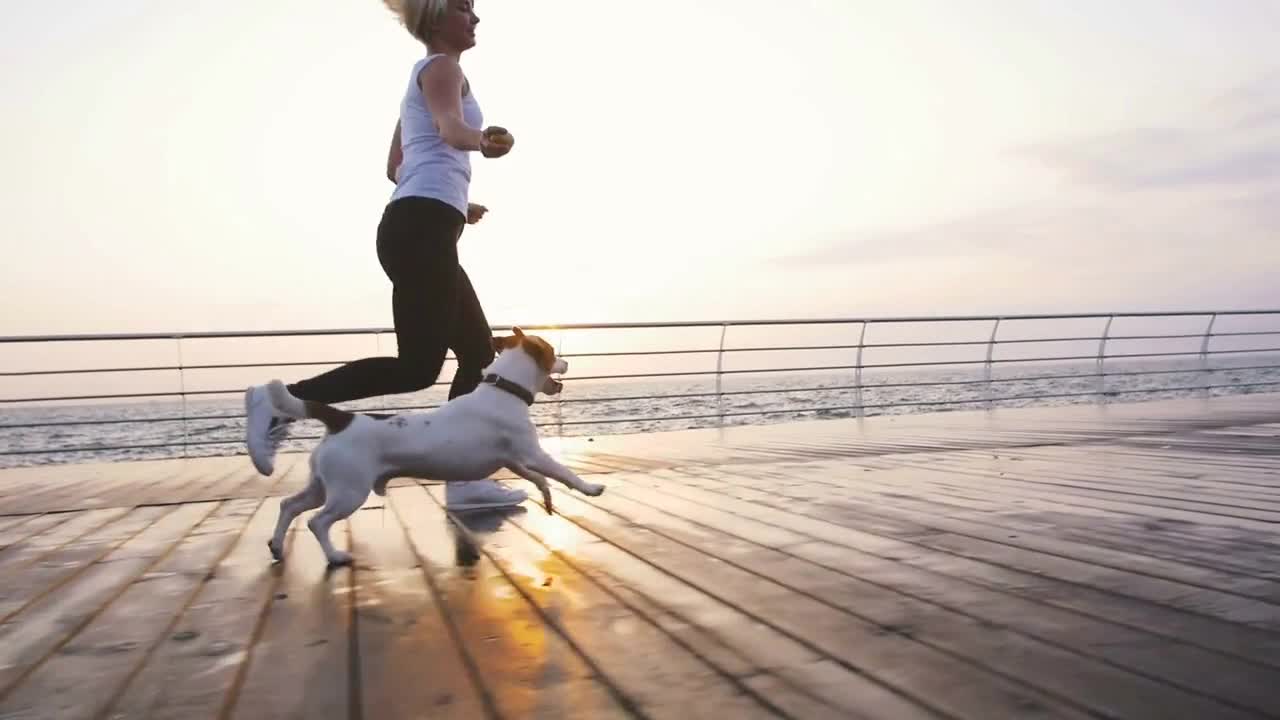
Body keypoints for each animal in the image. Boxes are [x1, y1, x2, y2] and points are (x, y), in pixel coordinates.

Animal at [262, 326, 606, 566]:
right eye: (551, 350)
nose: (567, 361)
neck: (503, 390)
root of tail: (340, 419)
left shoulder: (514, 460)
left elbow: (538, 478)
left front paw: (546, 497)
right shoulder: (532, 453)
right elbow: (563, 472)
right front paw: (590, 488)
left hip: (322, 486)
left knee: (289, 505)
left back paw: (277, 546)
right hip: (349, 492)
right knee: (316, 521)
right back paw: (334, 556)